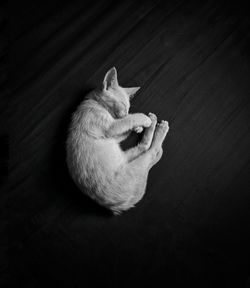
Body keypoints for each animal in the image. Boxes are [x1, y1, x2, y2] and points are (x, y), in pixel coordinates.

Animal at [65, 67, 169, 214]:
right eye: (123, 105)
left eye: (128, 108)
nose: (125, 113)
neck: (94, 102)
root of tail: (118, 206)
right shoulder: (110, 128)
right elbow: (128, 120)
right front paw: (142, 120)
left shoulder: (113, 135)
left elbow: (125, 127)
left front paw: (137, 127)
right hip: (134, 167)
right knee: (151, 150)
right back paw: (158, 126)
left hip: (126, 158)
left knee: (144, 147)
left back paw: (154, 123)